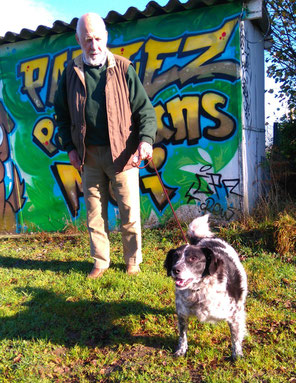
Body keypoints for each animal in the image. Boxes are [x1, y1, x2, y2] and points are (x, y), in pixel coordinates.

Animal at [164, 216, 247, 360]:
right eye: (175, 257)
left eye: (193, 258)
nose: (175, 270)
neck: (199, 290)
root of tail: (205, 238)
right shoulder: (182, 314)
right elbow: (182, 336)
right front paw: (181, 351)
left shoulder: (235, 315)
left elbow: (235, 338)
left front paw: (237, 356)